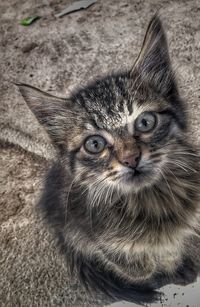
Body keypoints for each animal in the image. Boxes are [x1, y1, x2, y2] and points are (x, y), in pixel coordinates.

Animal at [17, 15, 200, 306]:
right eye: (95, 144)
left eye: (145, 122)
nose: (131, 159)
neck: (150, 201)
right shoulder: (103, 242)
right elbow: (140, 268)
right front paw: (163, 276)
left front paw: (177, 264)